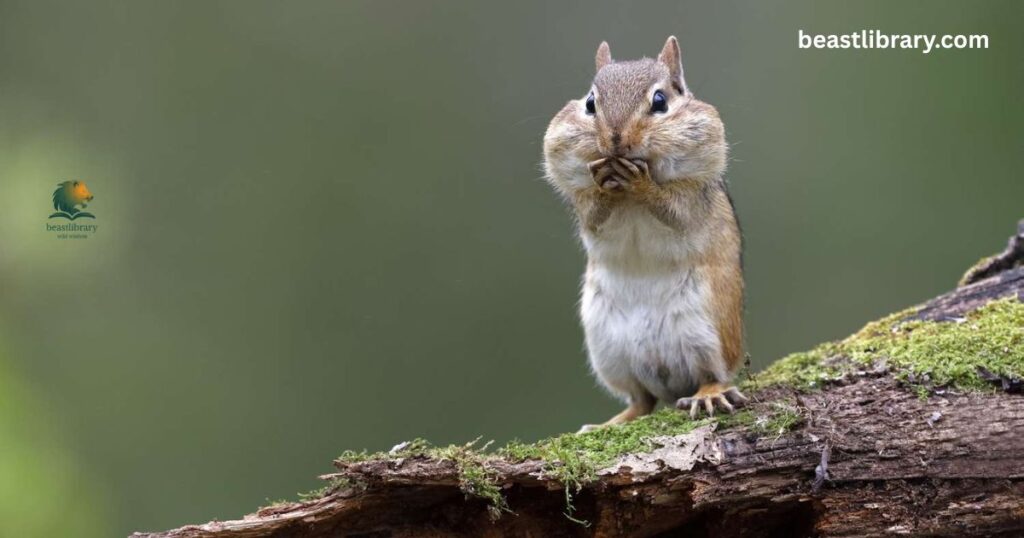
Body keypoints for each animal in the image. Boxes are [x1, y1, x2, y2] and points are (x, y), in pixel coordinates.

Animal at [543, 36, 747, 432]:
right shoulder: (582, 202)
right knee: (641, 400)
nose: (616, 139)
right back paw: (611, 422)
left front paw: (641, 183)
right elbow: (592, 213)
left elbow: (674, 209)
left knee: (712, 374)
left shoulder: (692, 196)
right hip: (608, 350)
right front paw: (605, 181)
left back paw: (708, 394)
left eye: (660, 101)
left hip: (709, 331)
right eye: (590, 103)